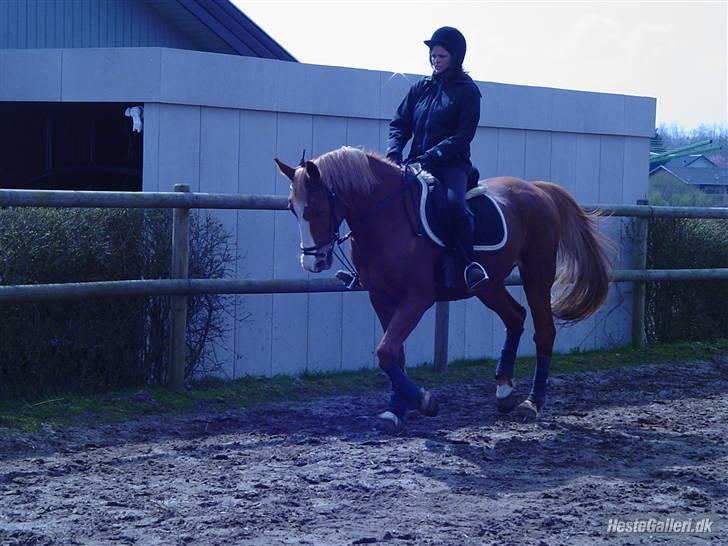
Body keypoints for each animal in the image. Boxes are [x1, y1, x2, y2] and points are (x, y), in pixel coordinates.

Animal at [276, 144, 612, 430]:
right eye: (292, 208)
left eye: (317, 209)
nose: (313, 262)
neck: (388, 218)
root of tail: (538, 189)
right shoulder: (380, 297)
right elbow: (394, 355)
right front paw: (396, 411)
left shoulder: (417, 298)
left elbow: (386, 351)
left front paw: (424, 402)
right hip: (487, 284)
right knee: (515, 317)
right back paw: (504, 392)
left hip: (537, 274)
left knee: (543, 331)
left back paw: (532, 403)